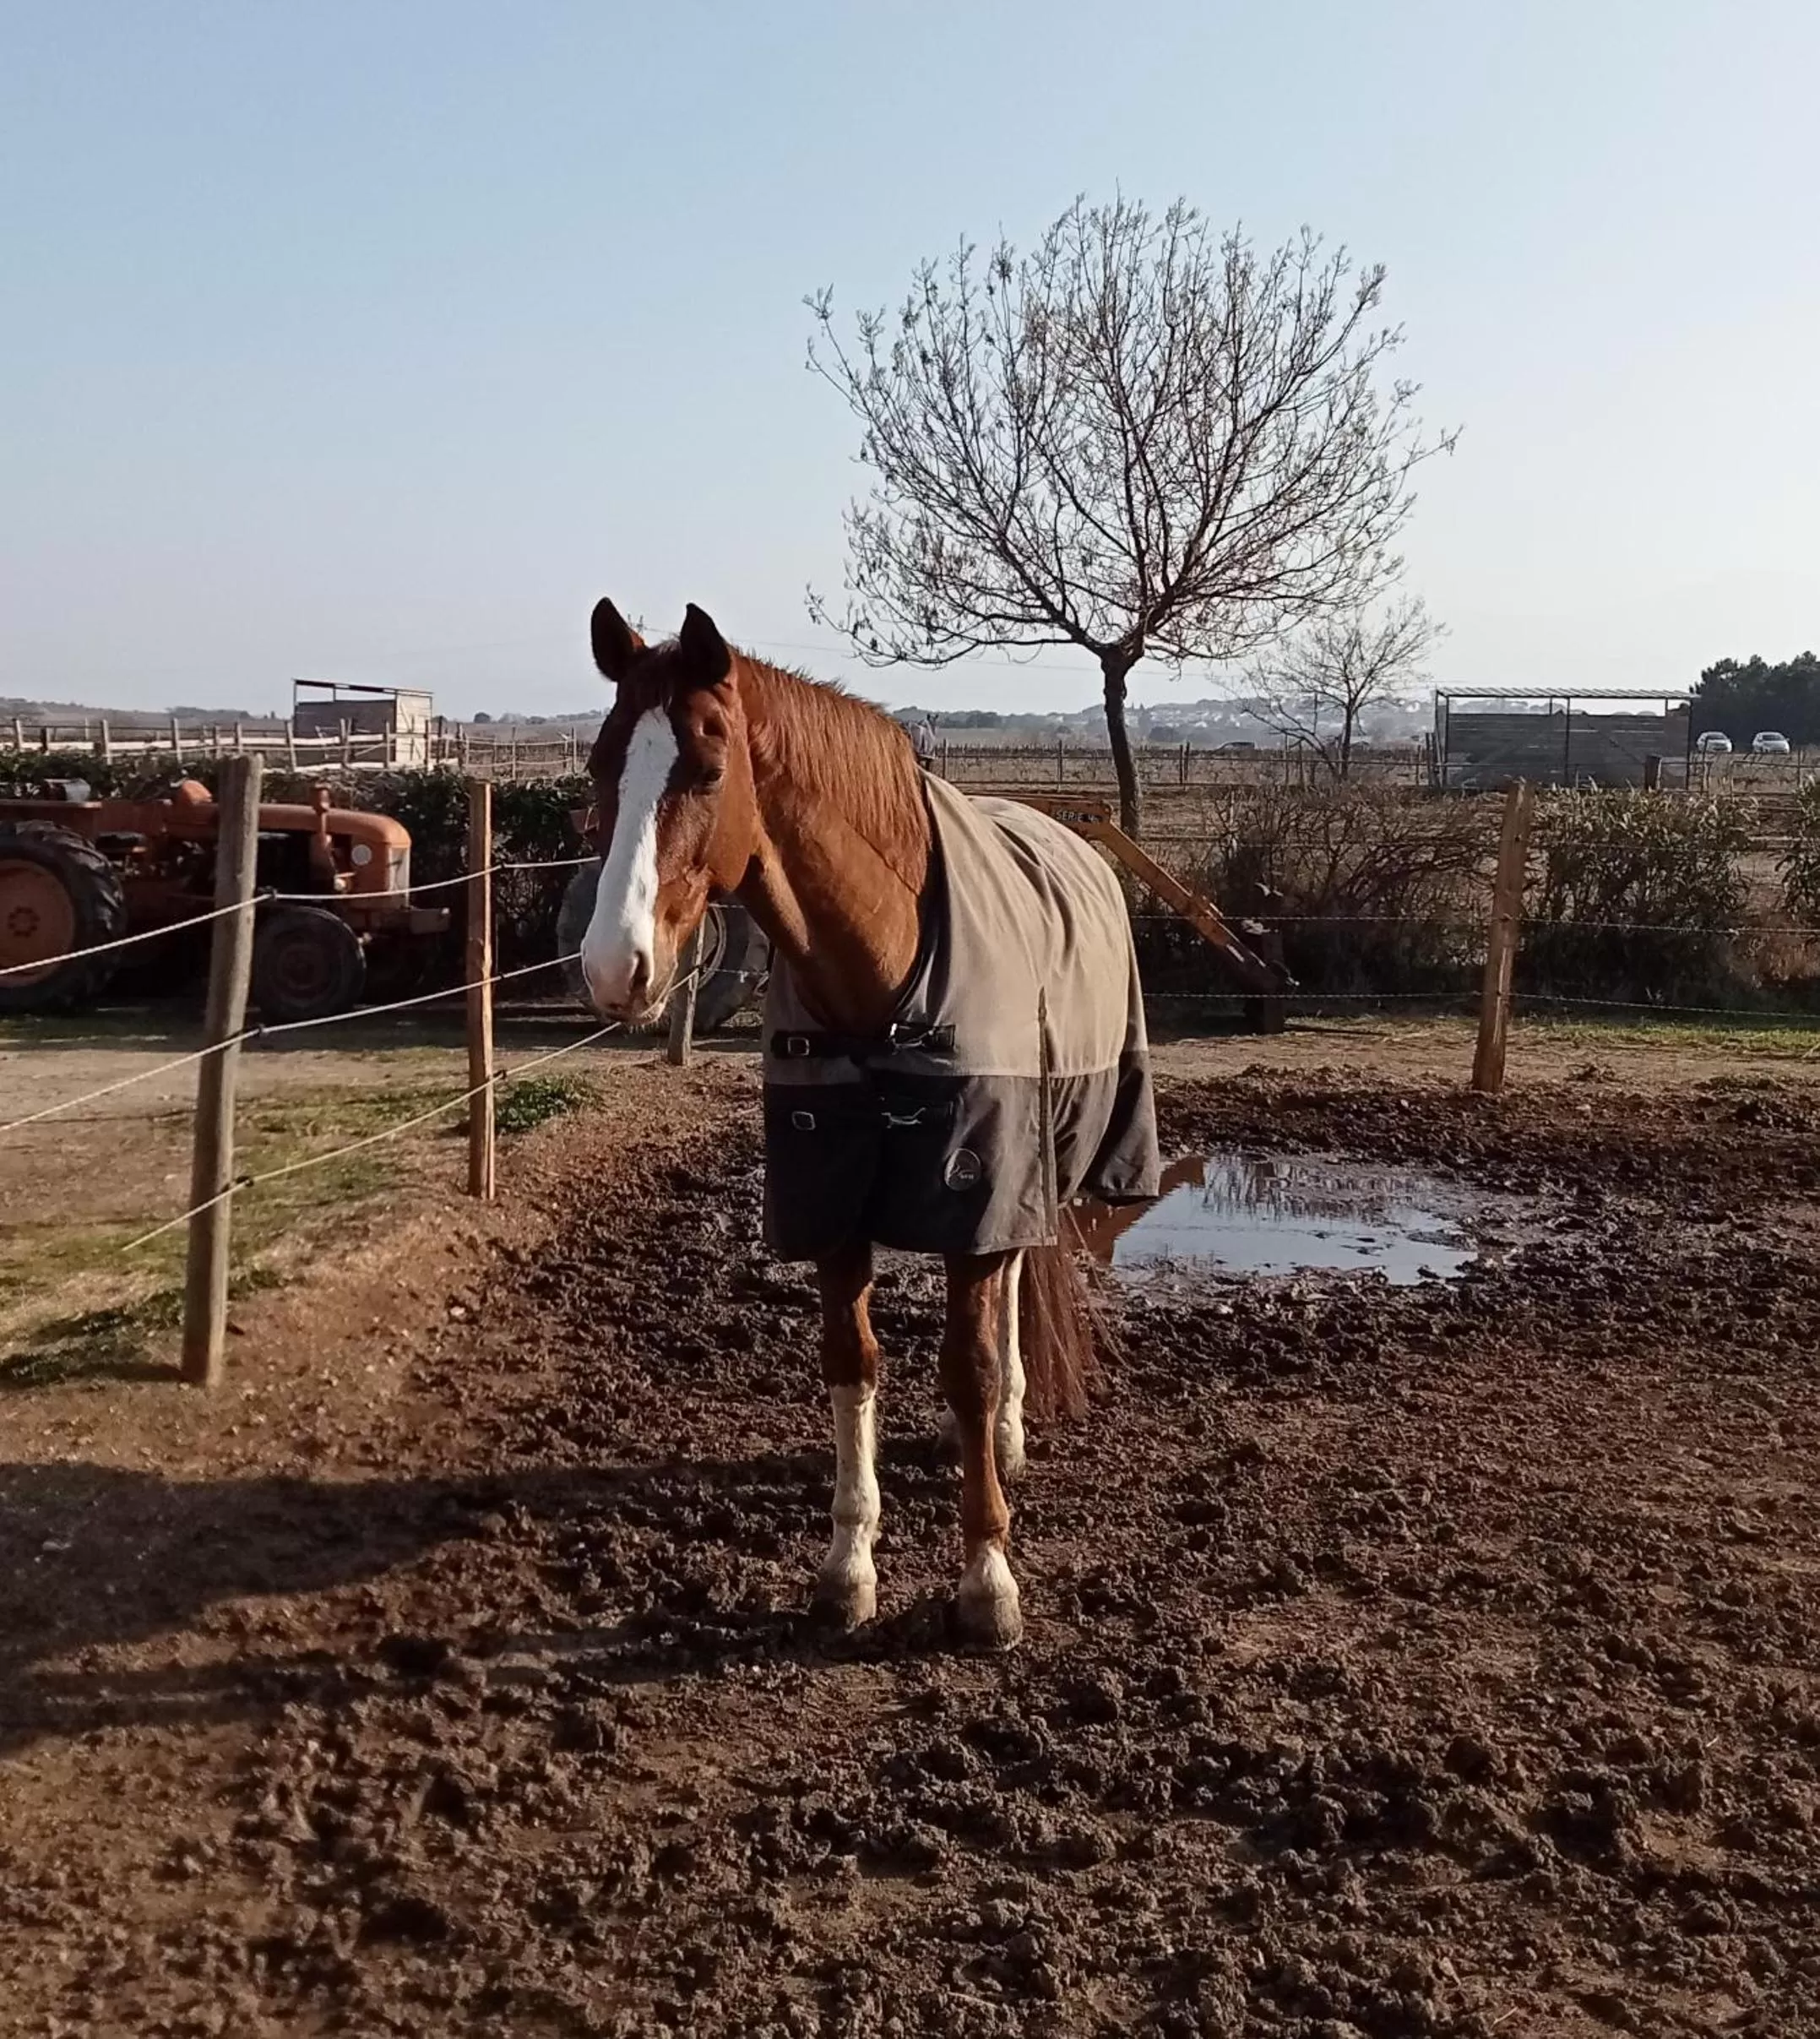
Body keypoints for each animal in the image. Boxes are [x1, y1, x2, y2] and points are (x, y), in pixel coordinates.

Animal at [578, 598, 1159, 1648]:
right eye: (600, 766)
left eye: (708, 769)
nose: (614, 967)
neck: (883, 972)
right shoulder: (831, 1200)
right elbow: (853, 1364)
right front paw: (847, 1568)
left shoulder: (979, 1195)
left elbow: (969, 1366)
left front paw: (987, 1581)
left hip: (1036, 1163)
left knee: (1016, 1286)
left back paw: (1008, 1431)